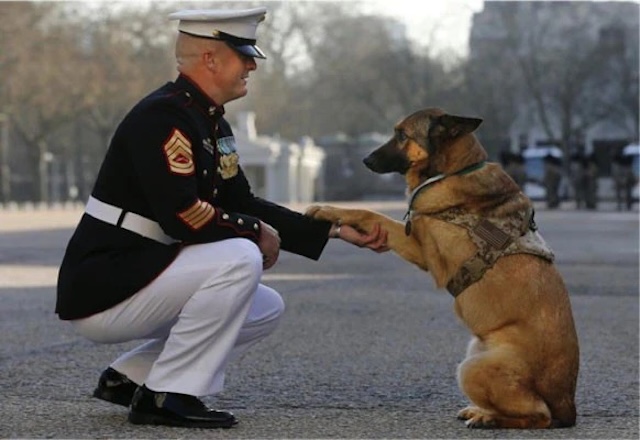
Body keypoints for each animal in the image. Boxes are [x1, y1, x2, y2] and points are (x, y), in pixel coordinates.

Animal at [308, 108, 584, 428]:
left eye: (401, 135)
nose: (365, 160)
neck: (453, 171)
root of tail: (567, 406)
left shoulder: (422, 248)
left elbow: (369, 213)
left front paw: (327, 210)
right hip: (473, 353)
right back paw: (480, 410)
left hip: (473, 368)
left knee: (538, 415)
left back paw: (489, 418)